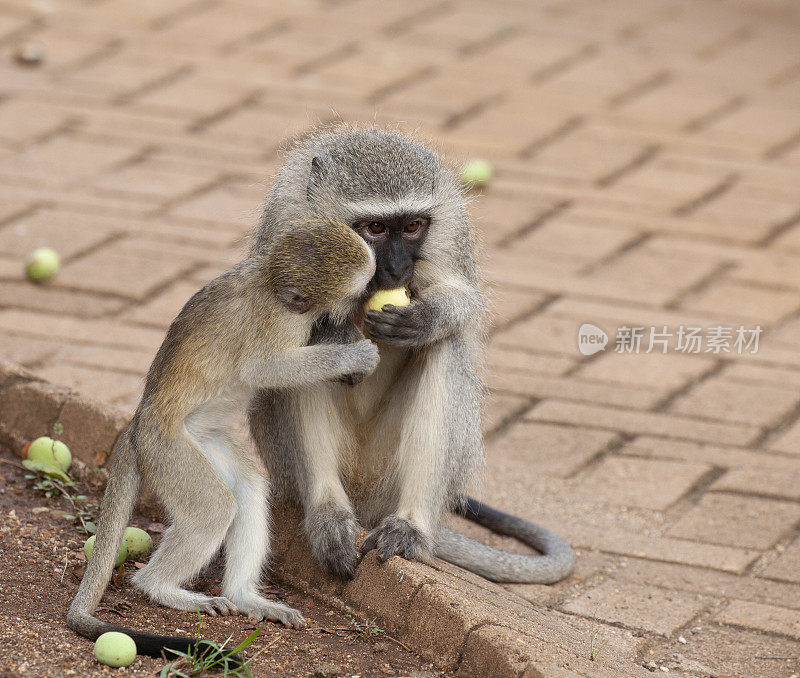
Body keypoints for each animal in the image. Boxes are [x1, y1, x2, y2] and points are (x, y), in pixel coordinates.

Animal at [66, 219, 378, 660]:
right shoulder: (275, 322)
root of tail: (140, 421)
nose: (366, 308)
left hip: (203, 439)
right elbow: (265, 369)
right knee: (213, 508)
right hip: (168, 451)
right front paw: (353, 356)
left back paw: (245, 596)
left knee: (248, 487)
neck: (269, 281)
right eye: (357, 294)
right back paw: (160, 588)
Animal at [250, 126, 576, 584]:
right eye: (374, 228)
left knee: (445, 346)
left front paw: (427, 317)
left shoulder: (451, 231)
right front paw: (337, 331)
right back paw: (327, 513)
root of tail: (366, 503)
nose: (395, 269)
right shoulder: (287, 221)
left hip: (388, 472)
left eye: (412, 226)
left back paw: (409, 527)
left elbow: (462, 301)